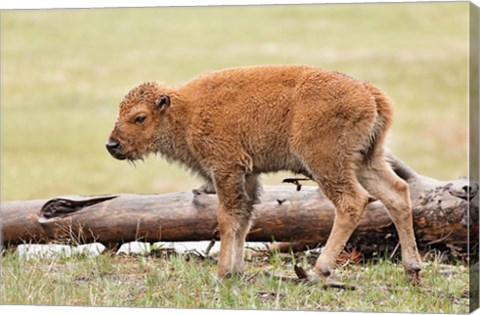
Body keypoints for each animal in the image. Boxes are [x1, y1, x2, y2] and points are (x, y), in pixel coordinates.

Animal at [107, 65, 422, 282]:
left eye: (139, 117)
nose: (112, 145)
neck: (185, 111)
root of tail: (369, 92)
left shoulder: (226, 169)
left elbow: (226, 219)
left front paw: (221, 273)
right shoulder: (247, 175)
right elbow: (243, 219)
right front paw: (235, 270)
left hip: (327, 164)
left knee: (352, 201)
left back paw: (321, 269)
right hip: (367, 161)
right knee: (397, 193)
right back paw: (412, 268)